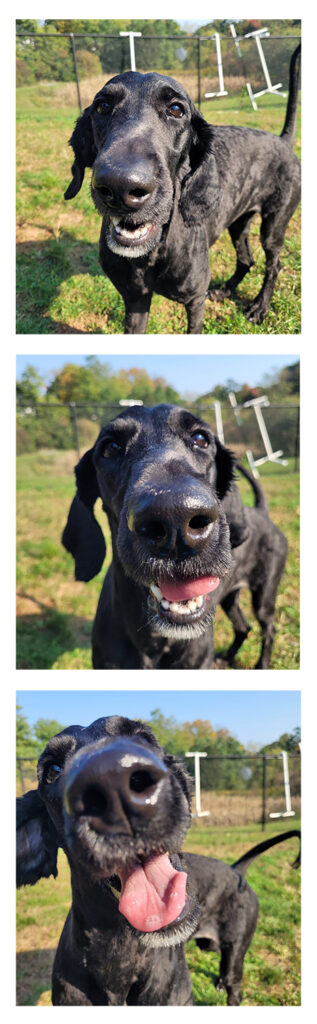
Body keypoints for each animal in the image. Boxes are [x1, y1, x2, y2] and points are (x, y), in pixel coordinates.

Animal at [16, 716, 300, 1003]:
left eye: (143, 738)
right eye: (52, 770)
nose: (112, 781)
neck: (120, 948)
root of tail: (236, 870)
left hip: (236, 952)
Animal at [61, 403, 286, 667]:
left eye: (200, 438)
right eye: (111, 448)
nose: (175, 518)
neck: (155, 639)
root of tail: (262, 511)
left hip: (264, 597)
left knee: (268, 629)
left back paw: (262, 664)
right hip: (230, 599)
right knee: (243, 626)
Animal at [63, 46, 300, 333]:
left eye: (176, 109)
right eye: (103, 106)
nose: (121, 185)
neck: (151, 255)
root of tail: (283, 141)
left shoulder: (195, 300)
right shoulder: (135, 300)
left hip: (274, 226)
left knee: (273, 265)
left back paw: (260, 307)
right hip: (238, 223)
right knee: (246, 259)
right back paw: (226, 290)